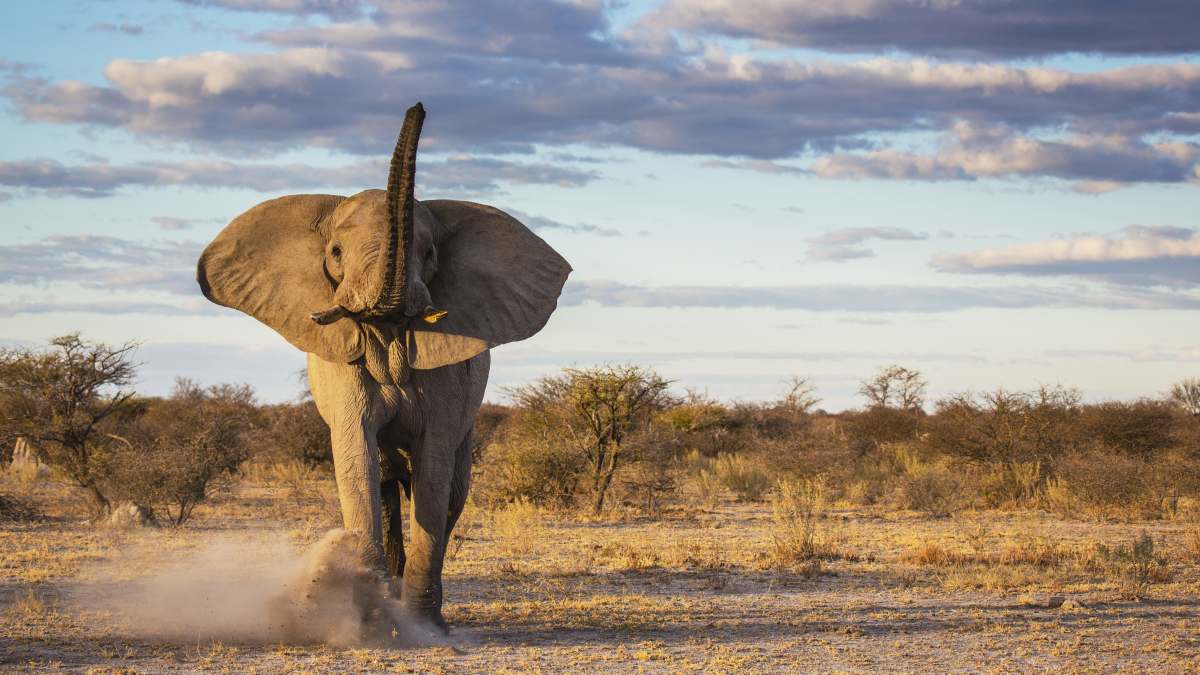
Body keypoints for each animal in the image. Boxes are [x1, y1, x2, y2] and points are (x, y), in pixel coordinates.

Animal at [196, 102, 571, 629]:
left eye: (430, 253)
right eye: (335, 253)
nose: (418, 108)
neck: (387, 327)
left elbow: (433, 476)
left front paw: (422, 626)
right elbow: (357, 461)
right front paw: (370, 617)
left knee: (451, 492)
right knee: (388, 484)